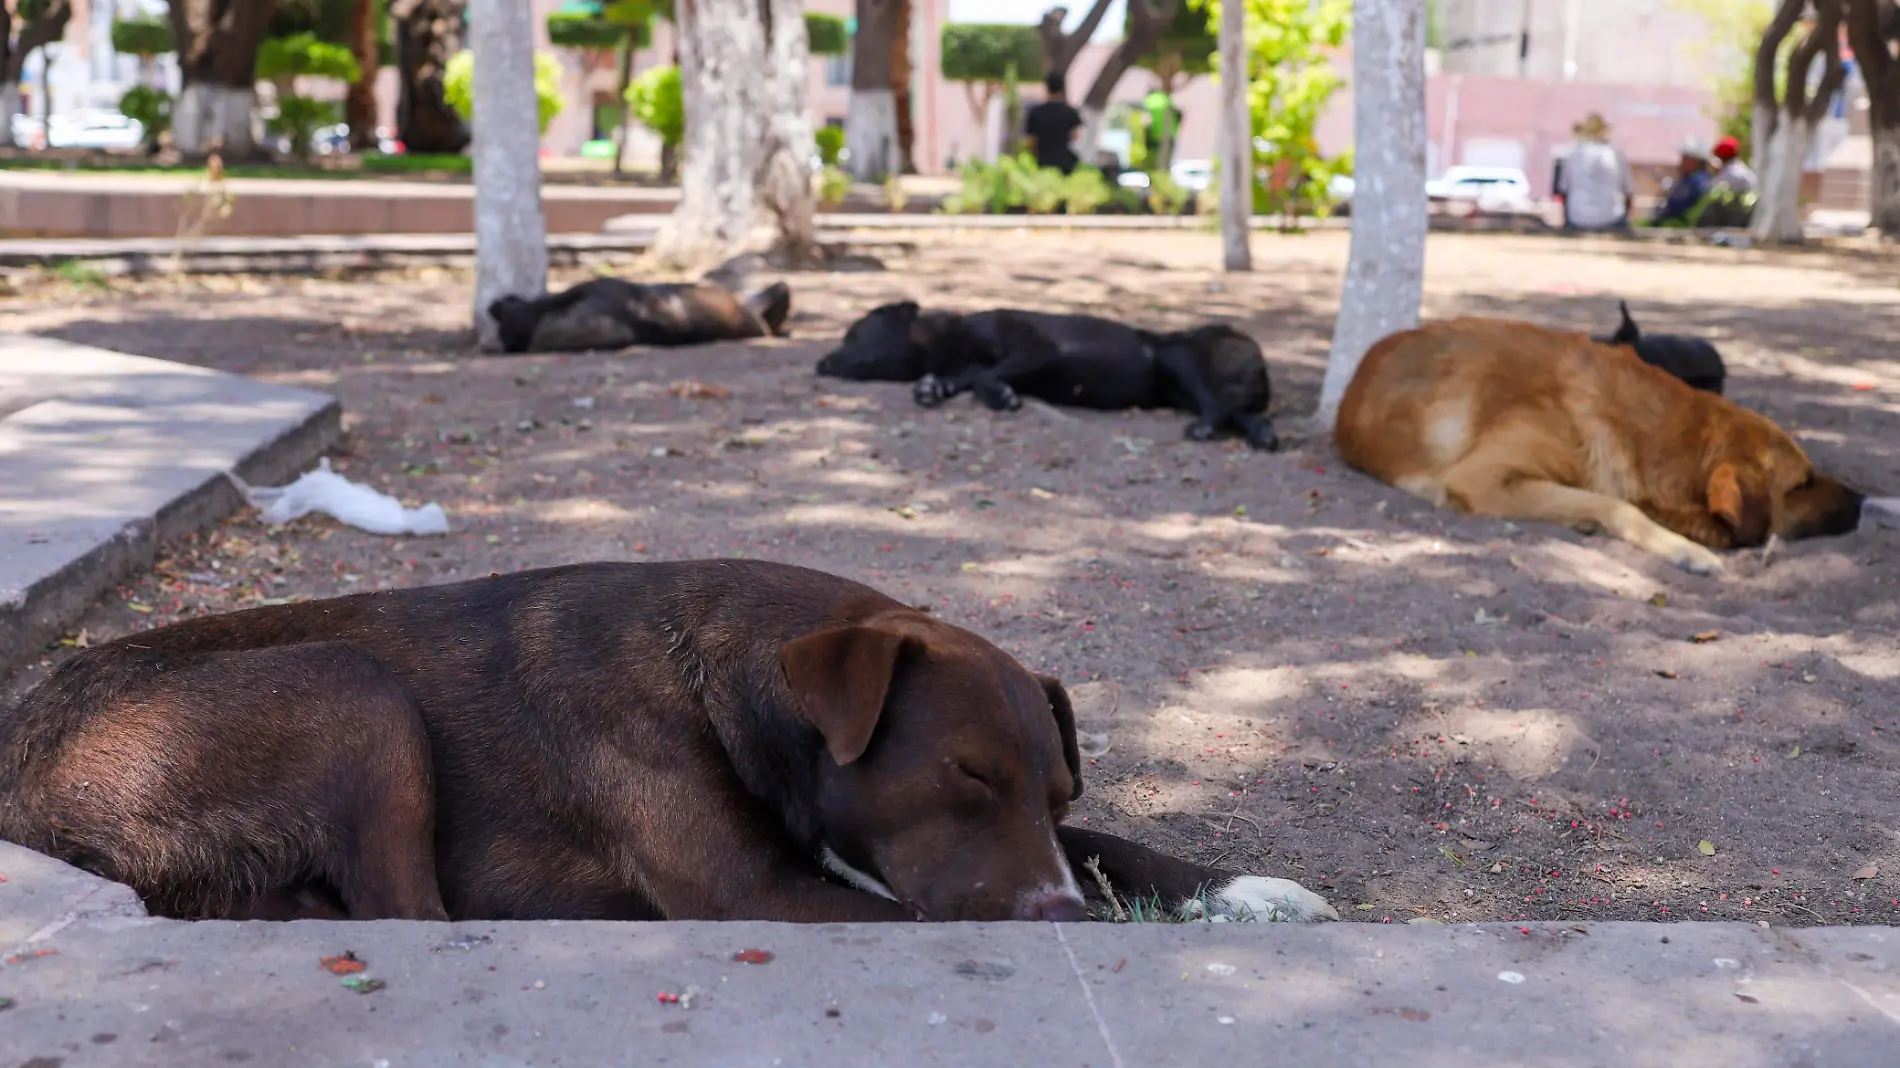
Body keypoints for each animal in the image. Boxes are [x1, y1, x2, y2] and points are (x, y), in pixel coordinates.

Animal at [0, 558, 1337, 923]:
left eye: (1058, 793)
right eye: (963, 776)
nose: (1055, 913)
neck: (729, 683)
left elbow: (1128, 849)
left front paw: (1249, 890)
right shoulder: (756, 894)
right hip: (352, 691)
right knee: (406, 912)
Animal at [813, 302, 1276, 446]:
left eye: (853, 333)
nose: (819, 363)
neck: (951, 339)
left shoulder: (1037, 349)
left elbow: (985, 378)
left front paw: (1001, 395)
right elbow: (970, 379)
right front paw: (933, 387)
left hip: (1174, 355)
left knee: (1219, 407)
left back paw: (1208, 426)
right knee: (1244, 413)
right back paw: (1263, 435)